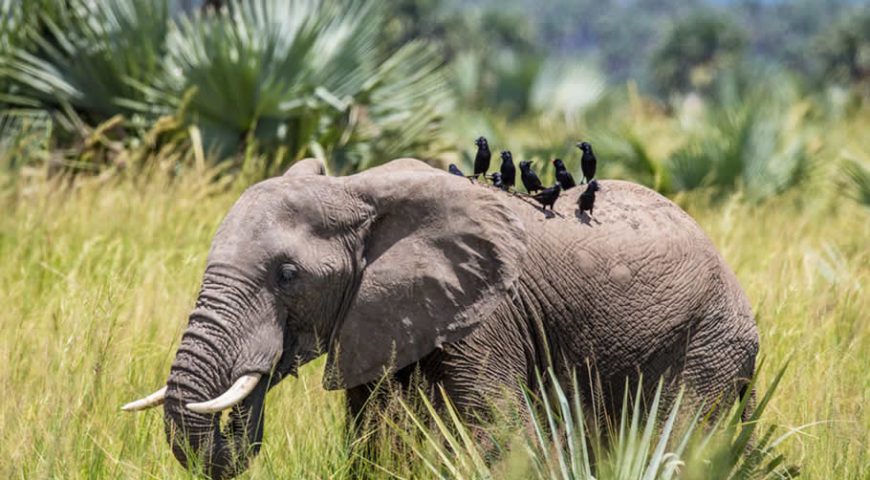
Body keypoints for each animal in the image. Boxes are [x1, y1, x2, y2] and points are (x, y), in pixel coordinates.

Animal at [121, 157, 756, 476]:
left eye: (287, 275)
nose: (239, 420)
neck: (357, 189)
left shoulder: (490, 313)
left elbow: (502, 432)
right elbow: (373, 438)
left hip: (710, 346)